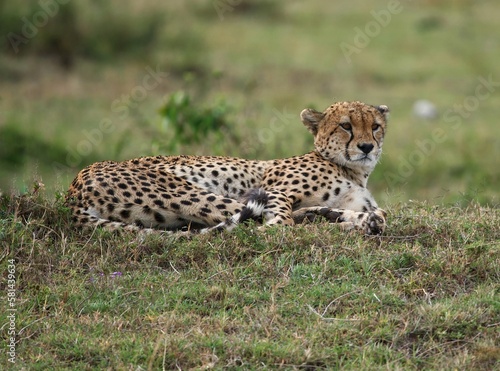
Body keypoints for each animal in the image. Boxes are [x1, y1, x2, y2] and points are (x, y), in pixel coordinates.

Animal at [64, 101, 388, 235]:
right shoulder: (272, 190)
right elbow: (281, 221)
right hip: (189, 192)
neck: (352, 171)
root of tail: (73, 190)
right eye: (346, 126)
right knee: (270, 225)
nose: (366, 147)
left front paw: (357, 218)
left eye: (375, 127)